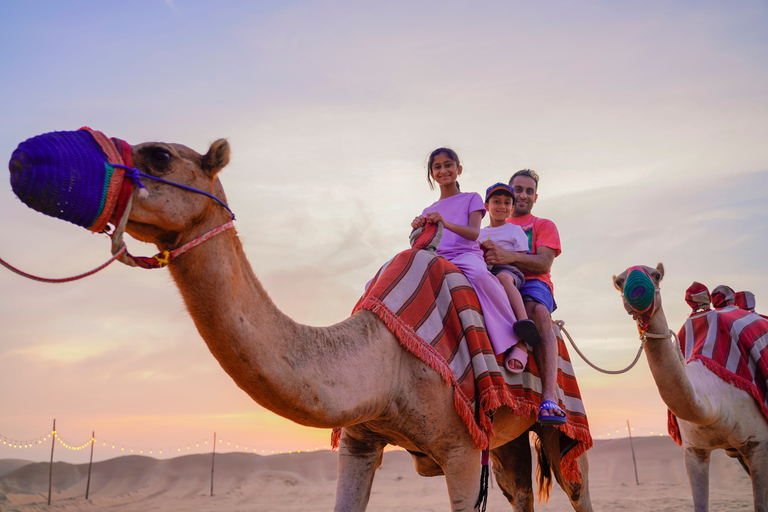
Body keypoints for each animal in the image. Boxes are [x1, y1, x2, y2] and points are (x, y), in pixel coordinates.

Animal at [612, 264, 768, 512]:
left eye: (656, 275)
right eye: (619, 281)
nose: (637, 291)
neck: (712, 405)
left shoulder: (757, 444)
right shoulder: (694, 451)